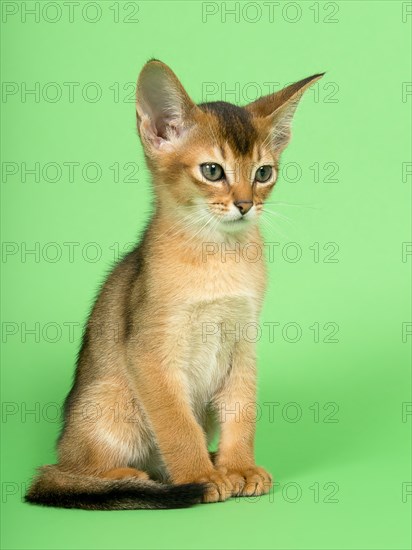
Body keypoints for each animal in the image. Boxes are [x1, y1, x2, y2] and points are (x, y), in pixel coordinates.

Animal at [25, 58, 324, 512]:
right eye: (212, 171)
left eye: (263, 173)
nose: (245, 204)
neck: (218, 256)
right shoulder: (150, 352)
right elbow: (178, 426)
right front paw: (201, 477)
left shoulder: (244, 342)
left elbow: (243, 411)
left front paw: (238, 467)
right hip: (112, 400)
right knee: (66, 471)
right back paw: (133, 477)